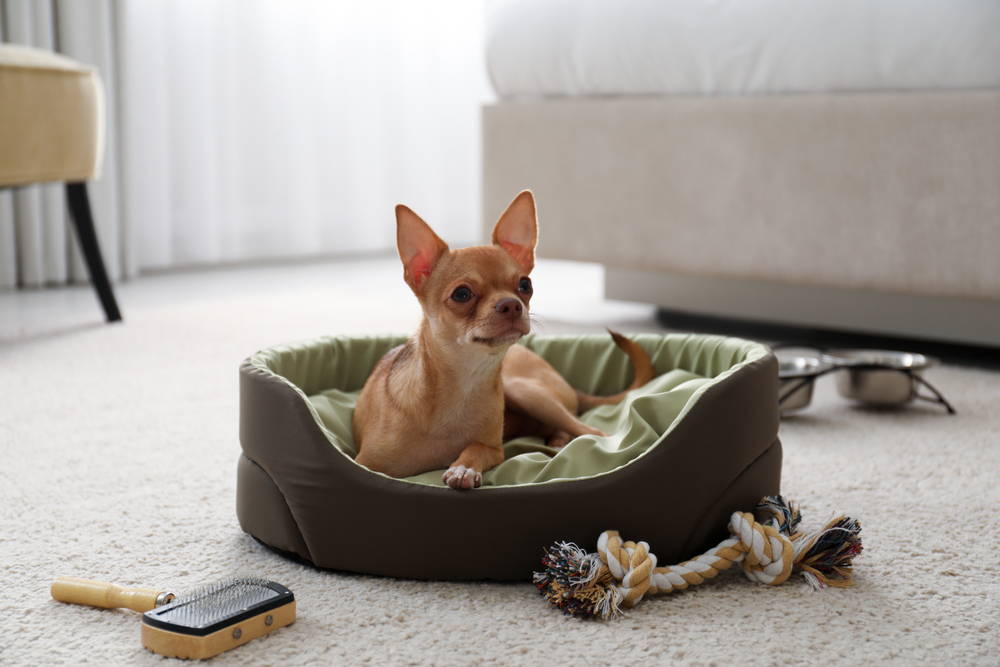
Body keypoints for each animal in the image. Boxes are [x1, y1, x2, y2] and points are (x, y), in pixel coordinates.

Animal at [354, 190, 656, 488]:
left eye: (525, 285)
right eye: (461, 294)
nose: (511, 304)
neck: (463, 382)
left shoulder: (494, 450)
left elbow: (475, 447)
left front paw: (463, 468)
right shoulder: (365, 462)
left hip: (526, 391)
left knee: (591, 431)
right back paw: (558, 441)